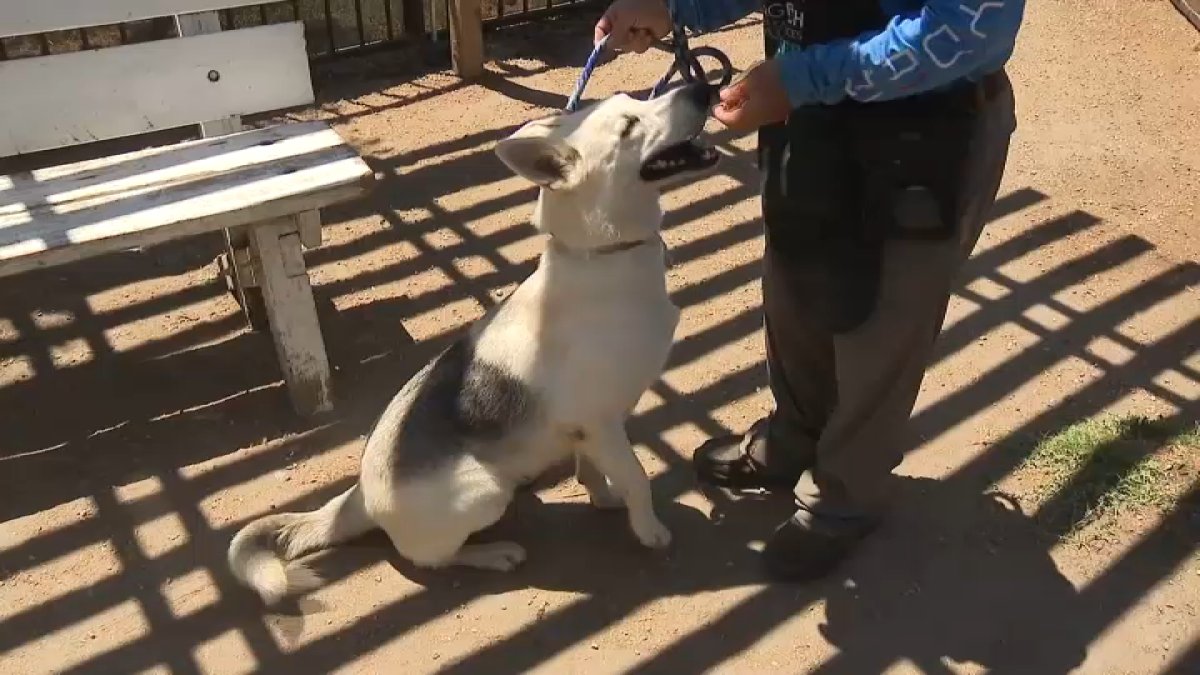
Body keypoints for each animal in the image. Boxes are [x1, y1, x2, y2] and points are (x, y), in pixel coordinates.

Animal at [225, 81, 715, 600]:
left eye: (633, 101)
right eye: (628, 126)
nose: (702, 86)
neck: (601, 257)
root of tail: (357, 498)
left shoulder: (592, 429)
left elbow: (594, 470)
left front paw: (604, 498)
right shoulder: (599, 423)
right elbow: (638, 478)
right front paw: (649, 530)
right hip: (485, 492)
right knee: (431, 559)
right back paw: (492, 554)